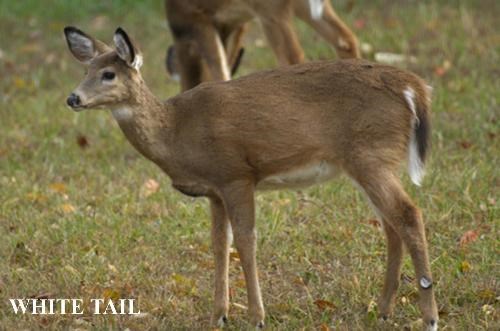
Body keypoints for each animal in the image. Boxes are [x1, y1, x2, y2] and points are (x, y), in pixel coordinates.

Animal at [64, 25, 440, 330]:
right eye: (86, 69)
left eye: (109, 74)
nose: (73, 97)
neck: (176, 132)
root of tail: (415, 88)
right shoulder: (214, 190)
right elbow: (219, 244)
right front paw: (218, 315)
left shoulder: (236, 175)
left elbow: (246, 241)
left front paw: (257, 317)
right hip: (369, 162)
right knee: (391, 225)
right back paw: (383, 310)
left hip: (370, 155)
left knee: (409, 215)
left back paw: (429, 317)